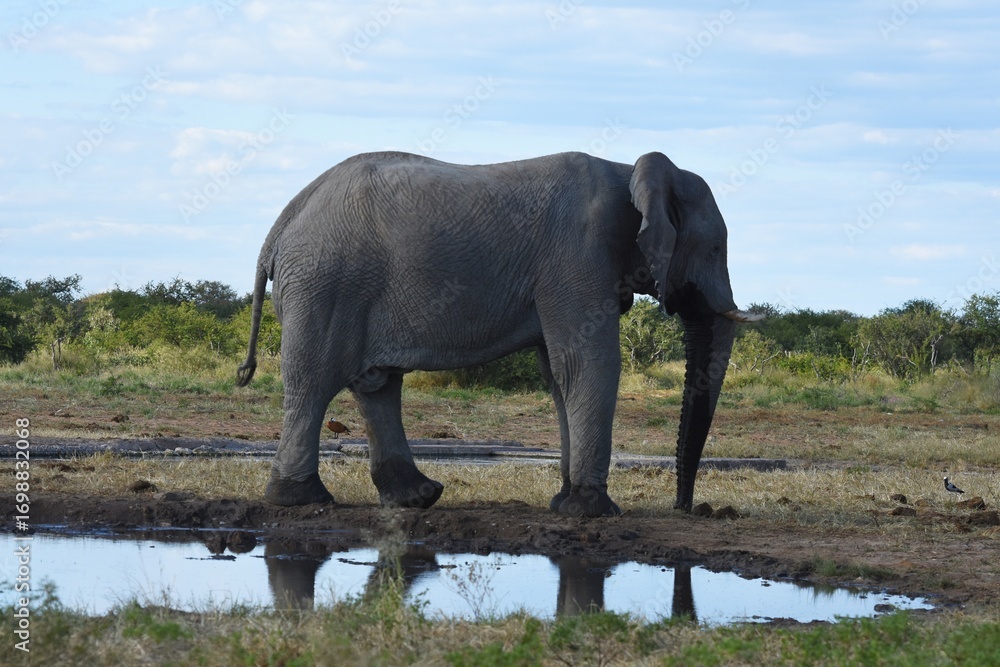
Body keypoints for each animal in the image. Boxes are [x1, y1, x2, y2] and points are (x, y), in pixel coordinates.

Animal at [237, 150, 758, 517]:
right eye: (715, 249)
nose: (686, 508)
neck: (630, 171)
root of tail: (281, 225)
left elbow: (559, 375)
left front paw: (564, 504)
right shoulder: (578, 255)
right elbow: (588, 362)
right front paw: (593, 511)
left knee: (377, 384)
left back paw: (417, 498)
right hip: (324, 282)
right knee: (314, 382)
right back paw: (303, 500)